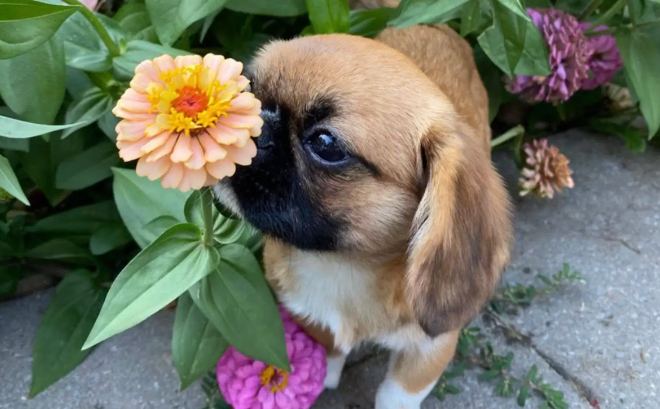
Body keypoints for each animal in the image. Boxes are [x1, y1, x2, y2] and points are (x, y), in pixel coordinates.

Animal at [214, 23, 512, 406]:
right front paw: (327, 372)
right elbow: (328, 344)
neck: (343, 263)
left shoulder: (429, 350)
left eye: (326, 144)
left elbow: (396, 394)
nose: (256, 121)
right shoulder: (305, 311)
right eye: (248, 90)